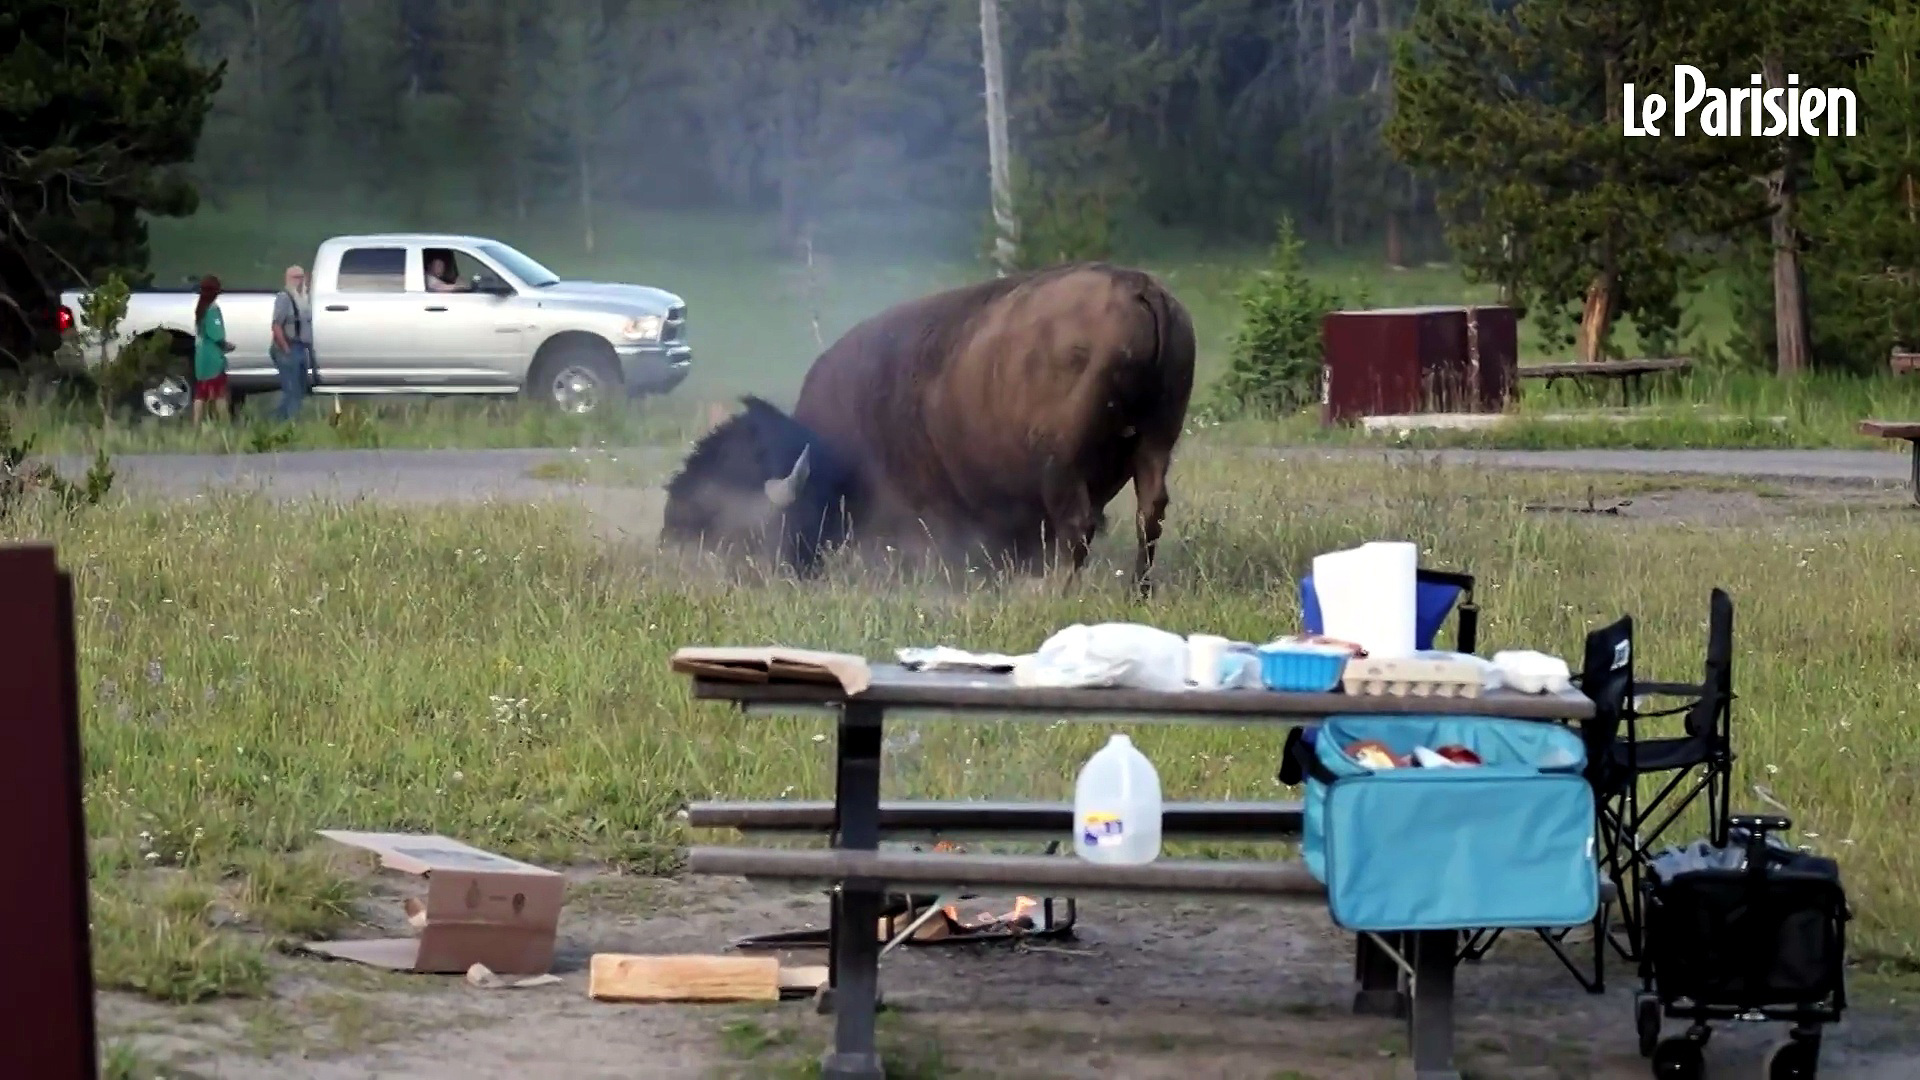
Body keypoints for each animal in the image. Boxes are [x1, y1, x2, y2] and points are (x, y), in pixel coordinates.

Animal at [661, 262, 1197, 595]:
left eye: (727, 513)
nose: (672, 539)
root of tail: (1142, 289)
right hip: (1157, 444)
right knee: (1149, 515)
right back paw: (1137, 593)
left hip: (1061, 466)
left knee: (1078, 526)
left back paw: (1056, 594)